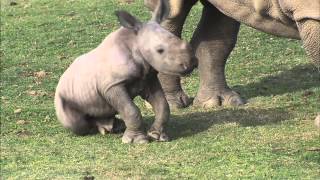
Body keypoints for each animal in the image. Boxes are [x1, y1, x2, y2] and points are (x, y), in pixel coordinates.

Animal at [54, 0, 195, 143]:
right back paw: (105, 128)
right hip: (63, 97)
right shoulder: (112, 85)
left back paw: (115, 126)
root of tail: (60, 81)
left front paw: (157, 136)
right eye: (159, 50)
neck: (135, 43)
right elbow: (131, 110)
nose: (191, 63)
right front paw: (137, 141)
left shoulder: (148, 78)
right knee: (77, 124)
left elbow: (162, 105)